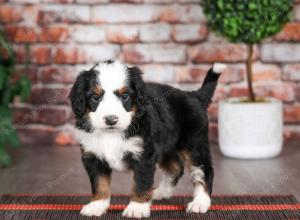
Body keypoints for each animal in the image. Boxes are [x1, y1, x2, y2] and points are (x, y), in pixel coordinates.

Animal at [69, 60, 226, 218]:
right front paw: (97, 205)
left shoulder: (144, 155)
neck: (112, 133)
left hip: (194, 144)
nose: (111, 120)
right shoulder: (93, 156)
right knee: (176, 168)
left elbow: (141, 182)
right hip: (167, 145)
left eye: (125, 96)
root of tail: (194, 96)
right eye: (95, 98)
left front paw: (137, 207)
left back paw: (200, 203)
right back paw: (160, 192)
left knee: (204, 171)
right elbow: (99, 183)